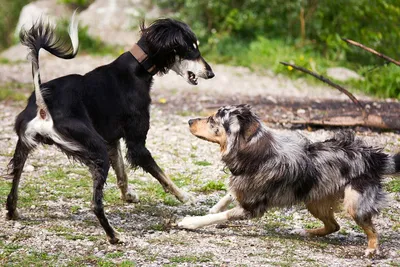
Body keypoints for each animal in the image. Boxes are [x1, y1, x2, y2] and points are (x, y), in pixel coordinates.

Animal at [4, 13, 214, 245]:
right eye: (192, 48)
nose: (211, 73)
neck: (136, 69)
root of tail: (43, 105)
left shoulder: (111, 140)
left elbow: (122, 173)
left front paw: (128, 196)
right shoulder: (136, 145)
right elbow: (162, 176)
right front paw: (184, 196)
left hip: (25, 145)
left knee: (14, 183)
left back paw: (12, 211)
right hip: (95, 150)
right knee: (95, 204)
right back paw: (113, 235)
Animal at [180, 104, 400, 258]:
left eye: (212, 120)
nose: (189, 120)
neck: (253, 151)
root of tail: (372, 156)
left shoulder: (251, 208)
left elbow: (219, 215)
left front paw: (191, 222)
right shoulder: (244, 183)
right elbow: (229, 193)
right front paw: (213, 207)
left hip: (354, 203)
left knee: (371, 229)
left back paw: (372, 249)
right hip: (314, 201)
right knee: (333, 226)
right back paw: (305, 232)